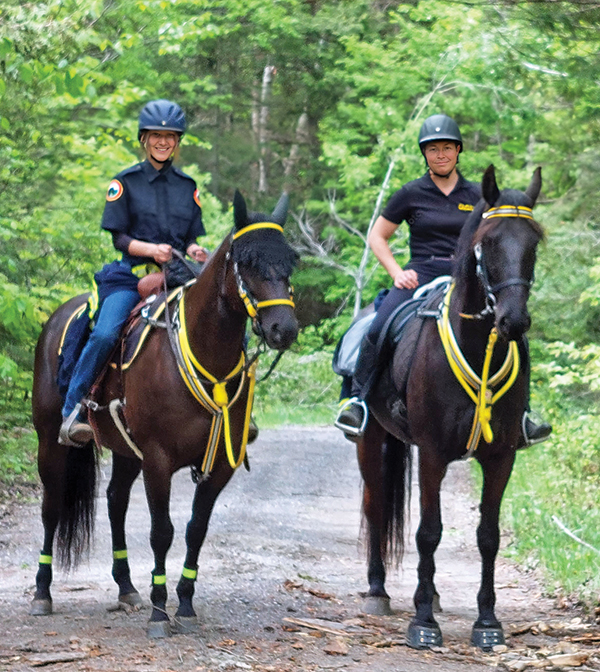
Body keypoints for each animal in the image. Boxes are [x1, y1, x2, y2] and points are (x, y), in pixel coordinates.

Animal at [30, 190, 299, 638]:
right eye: (247, 262)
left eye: (291, 261)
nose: (284, 328)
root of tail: (57, 317)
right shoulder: (157, 459)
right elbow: (162, 532)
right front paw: (160, 611)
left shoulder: (218, 464)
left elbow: (195, 530)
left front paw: (185, 604)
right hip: (50, 441)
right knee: (51, 509)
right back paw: (42, 593)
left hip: (124, 450)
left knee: (115, 502)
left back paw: (126, 588)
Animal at [357, 165, 545, 651]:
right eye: (487, 243)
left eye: (534, 243)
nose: (513, 321)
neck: (479, 350)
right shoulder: (433, 453)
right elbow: (428, 532)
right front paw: (423, 622)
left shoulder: (501, 457)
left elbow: (488, 536)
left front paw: (488, 623)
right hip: (369, 439)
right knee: (375, 504)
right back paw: (378, 590)